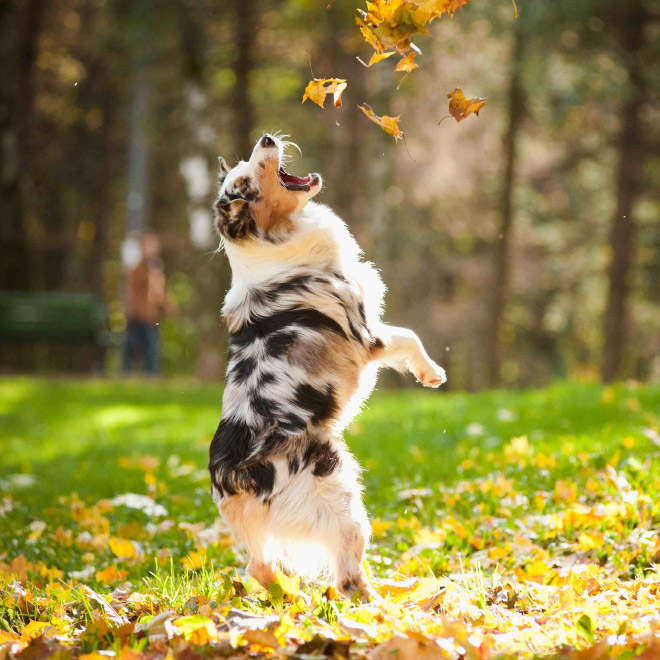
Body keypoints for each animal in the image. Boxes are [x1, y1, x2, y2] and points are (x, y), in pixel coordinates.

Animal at [208, 133, 444, 600]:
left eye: (246, 166)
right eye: (247, 181)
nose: (267, 138)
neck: (271, 246)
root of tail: (233, 478)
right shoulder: (367, 334)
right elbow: (409, 336)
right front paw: (431, 374)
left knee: (260, 567)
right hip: (342, 498)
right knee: (349, 579)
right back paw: (391, 604)